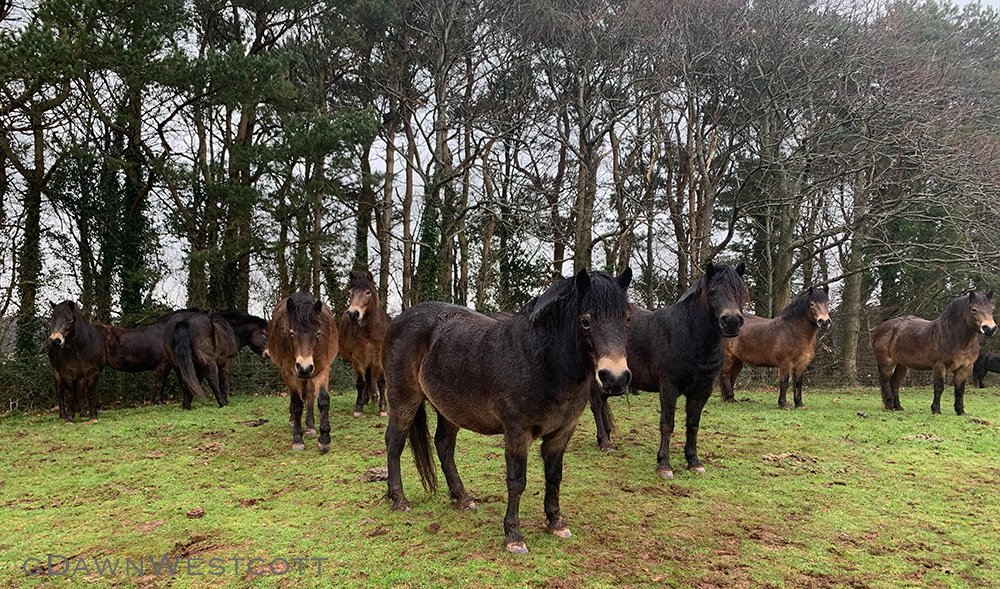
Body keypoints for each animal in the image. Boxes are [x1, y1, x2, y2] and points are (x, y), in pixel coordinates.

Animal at [270, 292, 340, 452]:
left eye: (318, 333)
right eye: (291, 333)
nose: (304, 367)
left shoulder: (322, 368)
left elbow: (323, 400)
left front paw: (324, 439)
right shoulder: (289, 372)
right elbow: (297, 404)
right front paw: (297, 439)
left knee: (309, 395)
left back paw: (310, 426)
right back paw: (294, 422)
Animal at [340, 268, 394, 416]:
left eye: (368, 292)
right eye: (350, 292)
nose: (353, 314)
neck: (369, 332)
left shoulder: (378, 358)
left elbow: (381, 382)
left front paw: (383, 408)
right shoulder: (357, 359)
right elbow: (361, 382)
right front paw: (359, 407)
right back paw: (366, 399)